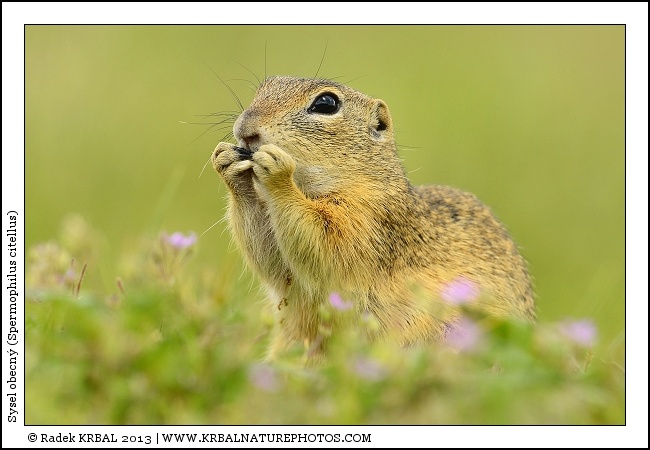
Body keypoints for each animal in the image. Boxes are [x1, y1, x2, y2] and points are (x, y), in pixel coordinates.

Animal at [211, 76, 535, 359]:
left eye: (326, 103)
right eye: (264, 87)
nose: (245, 128)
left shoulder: (369, 218)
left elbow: (326, 244)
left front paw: (277, 172)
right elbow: (272, 262)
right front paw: (226, 162)